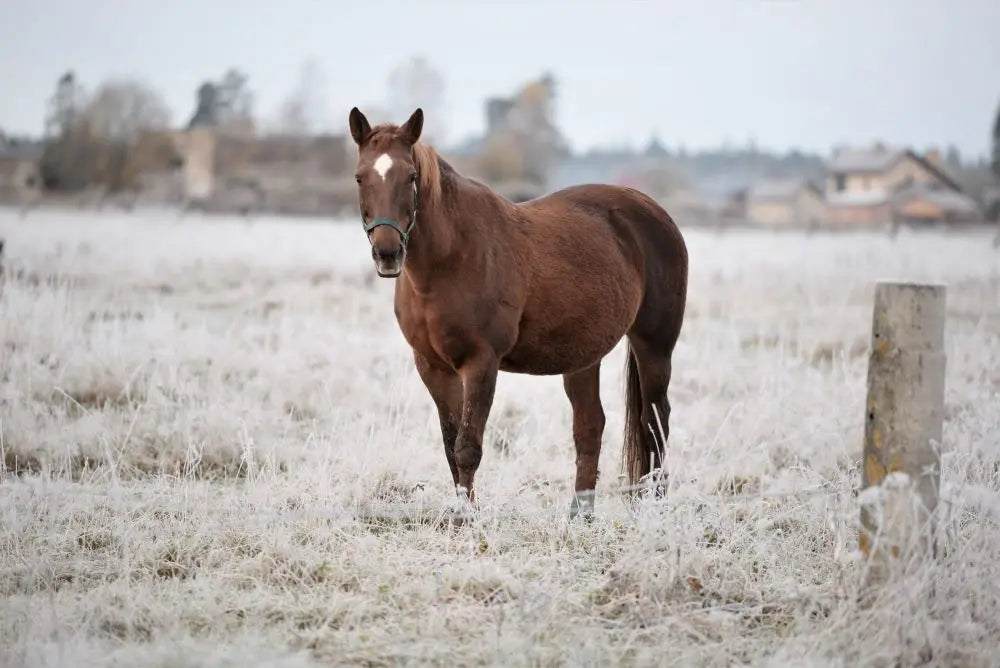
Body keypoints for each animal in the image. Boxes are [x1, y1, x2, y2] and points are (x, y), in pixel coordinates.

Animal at [346, 108, 688, 516]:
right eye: (360, 177)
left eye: (411, 176)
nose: (387, 253)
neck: (452, 257)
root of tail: (655, 213)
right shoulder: (433, 367)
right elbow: (450, 445)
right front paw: (463, 511)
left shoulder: (481, 363)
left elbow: (467, 448)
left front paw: (464, 519)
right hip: (583, 357)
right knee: (590, 425)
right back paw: (581, 515)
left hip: (654, 346)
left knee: (654, 421)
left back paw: (654, 506)